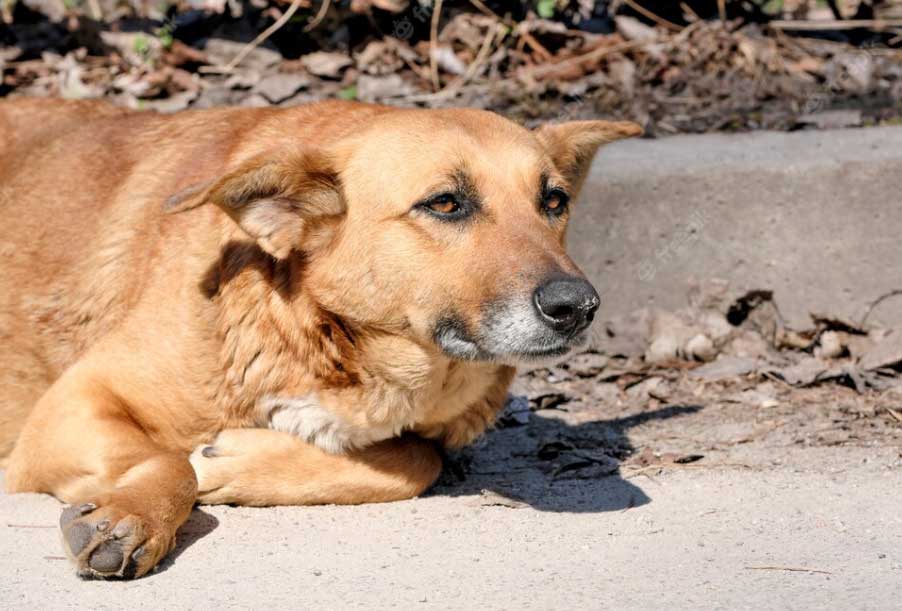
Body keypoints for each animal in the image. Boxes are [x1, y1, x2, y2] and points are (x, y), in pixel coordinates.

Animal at [0, 97, 644, 580]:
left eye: (553, 201)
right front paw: (135, 514)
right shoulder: (70, 405)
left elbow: (418, 460)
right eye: (445, 203)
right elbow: (171, 461)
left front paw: (241, 462)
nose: (578, 307)